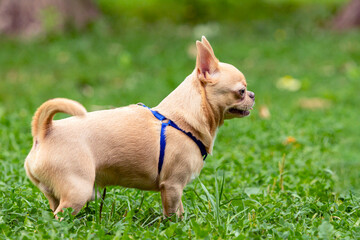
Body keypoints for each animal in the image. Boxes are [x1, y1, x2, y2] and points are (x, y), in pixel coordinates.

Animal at [23, 36, 255, 218]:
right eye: (241, 91)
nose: (252, 95)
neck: (181, 119)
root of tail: (44, 130)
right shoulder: (172, 186)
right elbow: (172, 214)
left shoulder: (176, 188)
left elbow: (179, 210)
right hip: (79, 190)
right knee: (60, 218)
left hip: (55, 192)